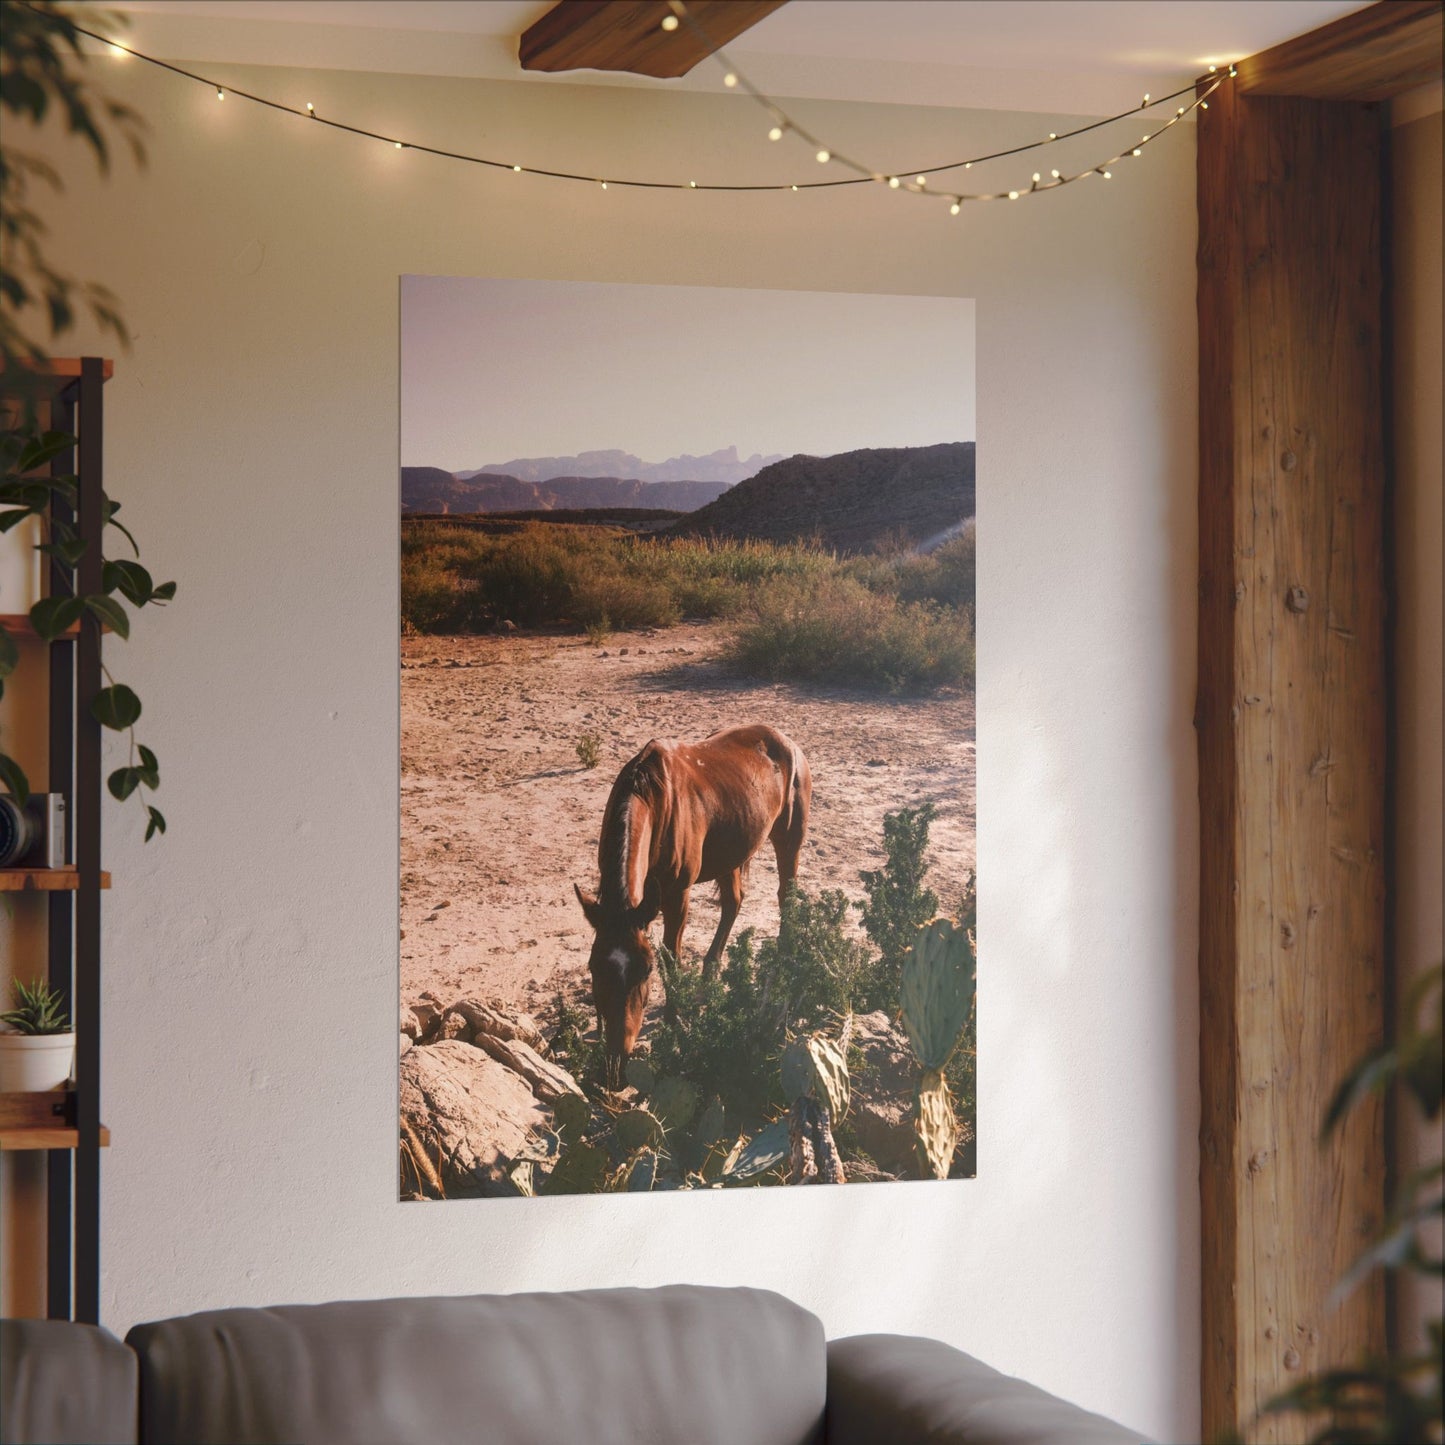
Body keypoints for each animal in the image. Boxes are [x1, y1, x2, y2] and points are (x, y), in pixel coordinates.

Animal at [574, 724, 812, 1087]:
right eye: (594, 968)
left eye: (645, 971)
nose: (615, 1068)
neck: (654, 801)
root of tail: (787, 742)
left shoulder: (676, 895)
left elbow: (671, 956)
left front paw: (674, 1021)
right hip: (733, 850)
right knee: (733, 903)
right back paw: (709, 971)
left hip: (789, 840)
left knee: (786, 896)